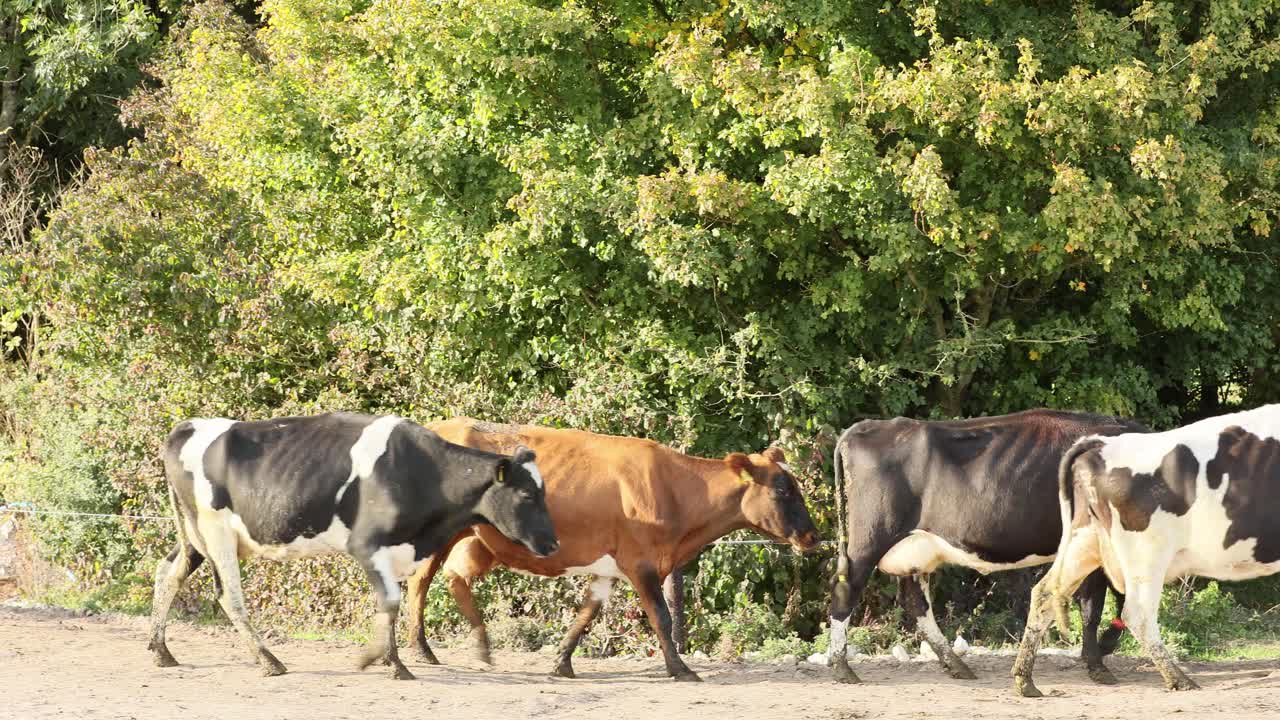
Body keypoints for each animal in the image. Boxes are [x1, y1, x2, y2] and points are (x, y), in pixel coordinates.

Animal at [147, 412, 558, 676]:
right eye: (526, 494)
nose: (553, 543)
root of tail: (188, 426)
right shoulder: (367, 545)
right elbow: (390, 602)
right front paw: (384, 662)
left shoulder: (396, 549)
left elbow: (390, 605)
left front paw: (390, 660)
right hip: (215, 532)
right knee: (228, 596)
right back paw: (269, 661)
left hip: (195, 537)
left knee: (168, 572)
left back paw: (161, 651)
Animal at [401, 415, 819, 676]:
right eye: (783, 490)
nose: (813, 536)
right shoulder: (642, 562)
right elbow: (662, 617)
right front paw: (681, 669)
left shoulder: (610, 568)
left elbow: (587, 615)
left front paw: (562, 663)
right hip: (438, 534)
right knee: (420, 583)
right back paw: (423, 649)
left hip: (474, 541)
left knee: (452, 579)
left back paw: (478, 646)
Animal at [829, 407, 1152, 681]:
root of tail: (870, 426)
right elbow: (1094, 607)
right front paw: (1098, 663)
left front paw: (1100, 650)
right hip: (869, 539)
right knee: (846, 588)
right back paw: (842, 668)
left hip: (915, 548)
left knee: (915, 601)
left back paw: (956, 665)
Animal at [1008, 399, 1280, 691]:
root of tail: (1100, 445)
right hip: (1146, 553)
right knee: (1138, 613)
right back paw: (1179, 679)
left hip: (1084, 541)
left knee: (1045, 594)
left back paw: (1025, 680)